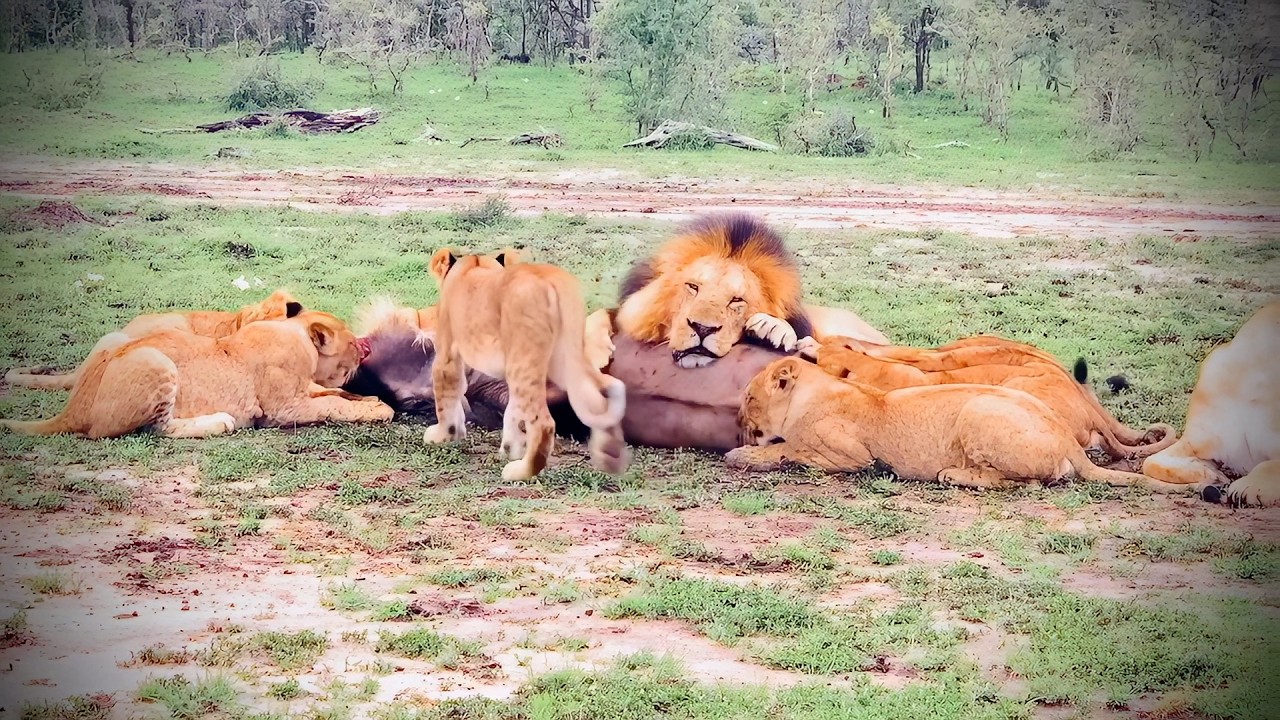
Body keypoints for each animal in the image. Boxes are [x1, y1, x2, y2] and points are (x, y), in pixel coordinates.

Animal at [0, 311, 391, 439]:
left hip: (117, 341)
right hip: (154, 361)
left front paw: (368, 397)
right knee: (156, 429)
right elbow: (335, 406)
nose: (366, 347)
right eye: (351, 342)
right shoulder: (285, 408)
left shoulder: (305, 391)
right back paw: (219, 422)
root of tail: (71, 409)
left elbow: (337, 395)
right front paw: (379, 408)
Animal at [423, 248, 629, 481]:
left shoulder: (447, 355)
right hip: (562, 358)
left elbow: (446, 395)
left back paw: (521, 472)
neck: (475, 265)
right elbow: (511, 409)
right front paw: (510, 449)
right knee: (608, 389)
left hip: (529, 360)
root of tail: (550, 278)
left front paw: (443, 435)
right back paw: (611, 457)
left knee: (544, 423)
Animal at [584, 213, 888, 370]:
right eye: (693, 286)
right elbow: (597, 315)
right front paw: (593, 355)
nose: (703, 328)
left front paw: (774, 329)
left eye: (736, 300)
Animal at [726, 357, 1189, 493]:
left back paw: (954, 474)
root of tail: (1067, 439)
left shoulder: (852, 455)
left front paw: (743, 453)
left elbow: (788, 449)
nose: (736, 420)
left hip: (978, 410)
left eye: (749, 398)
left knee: (1027, 482)